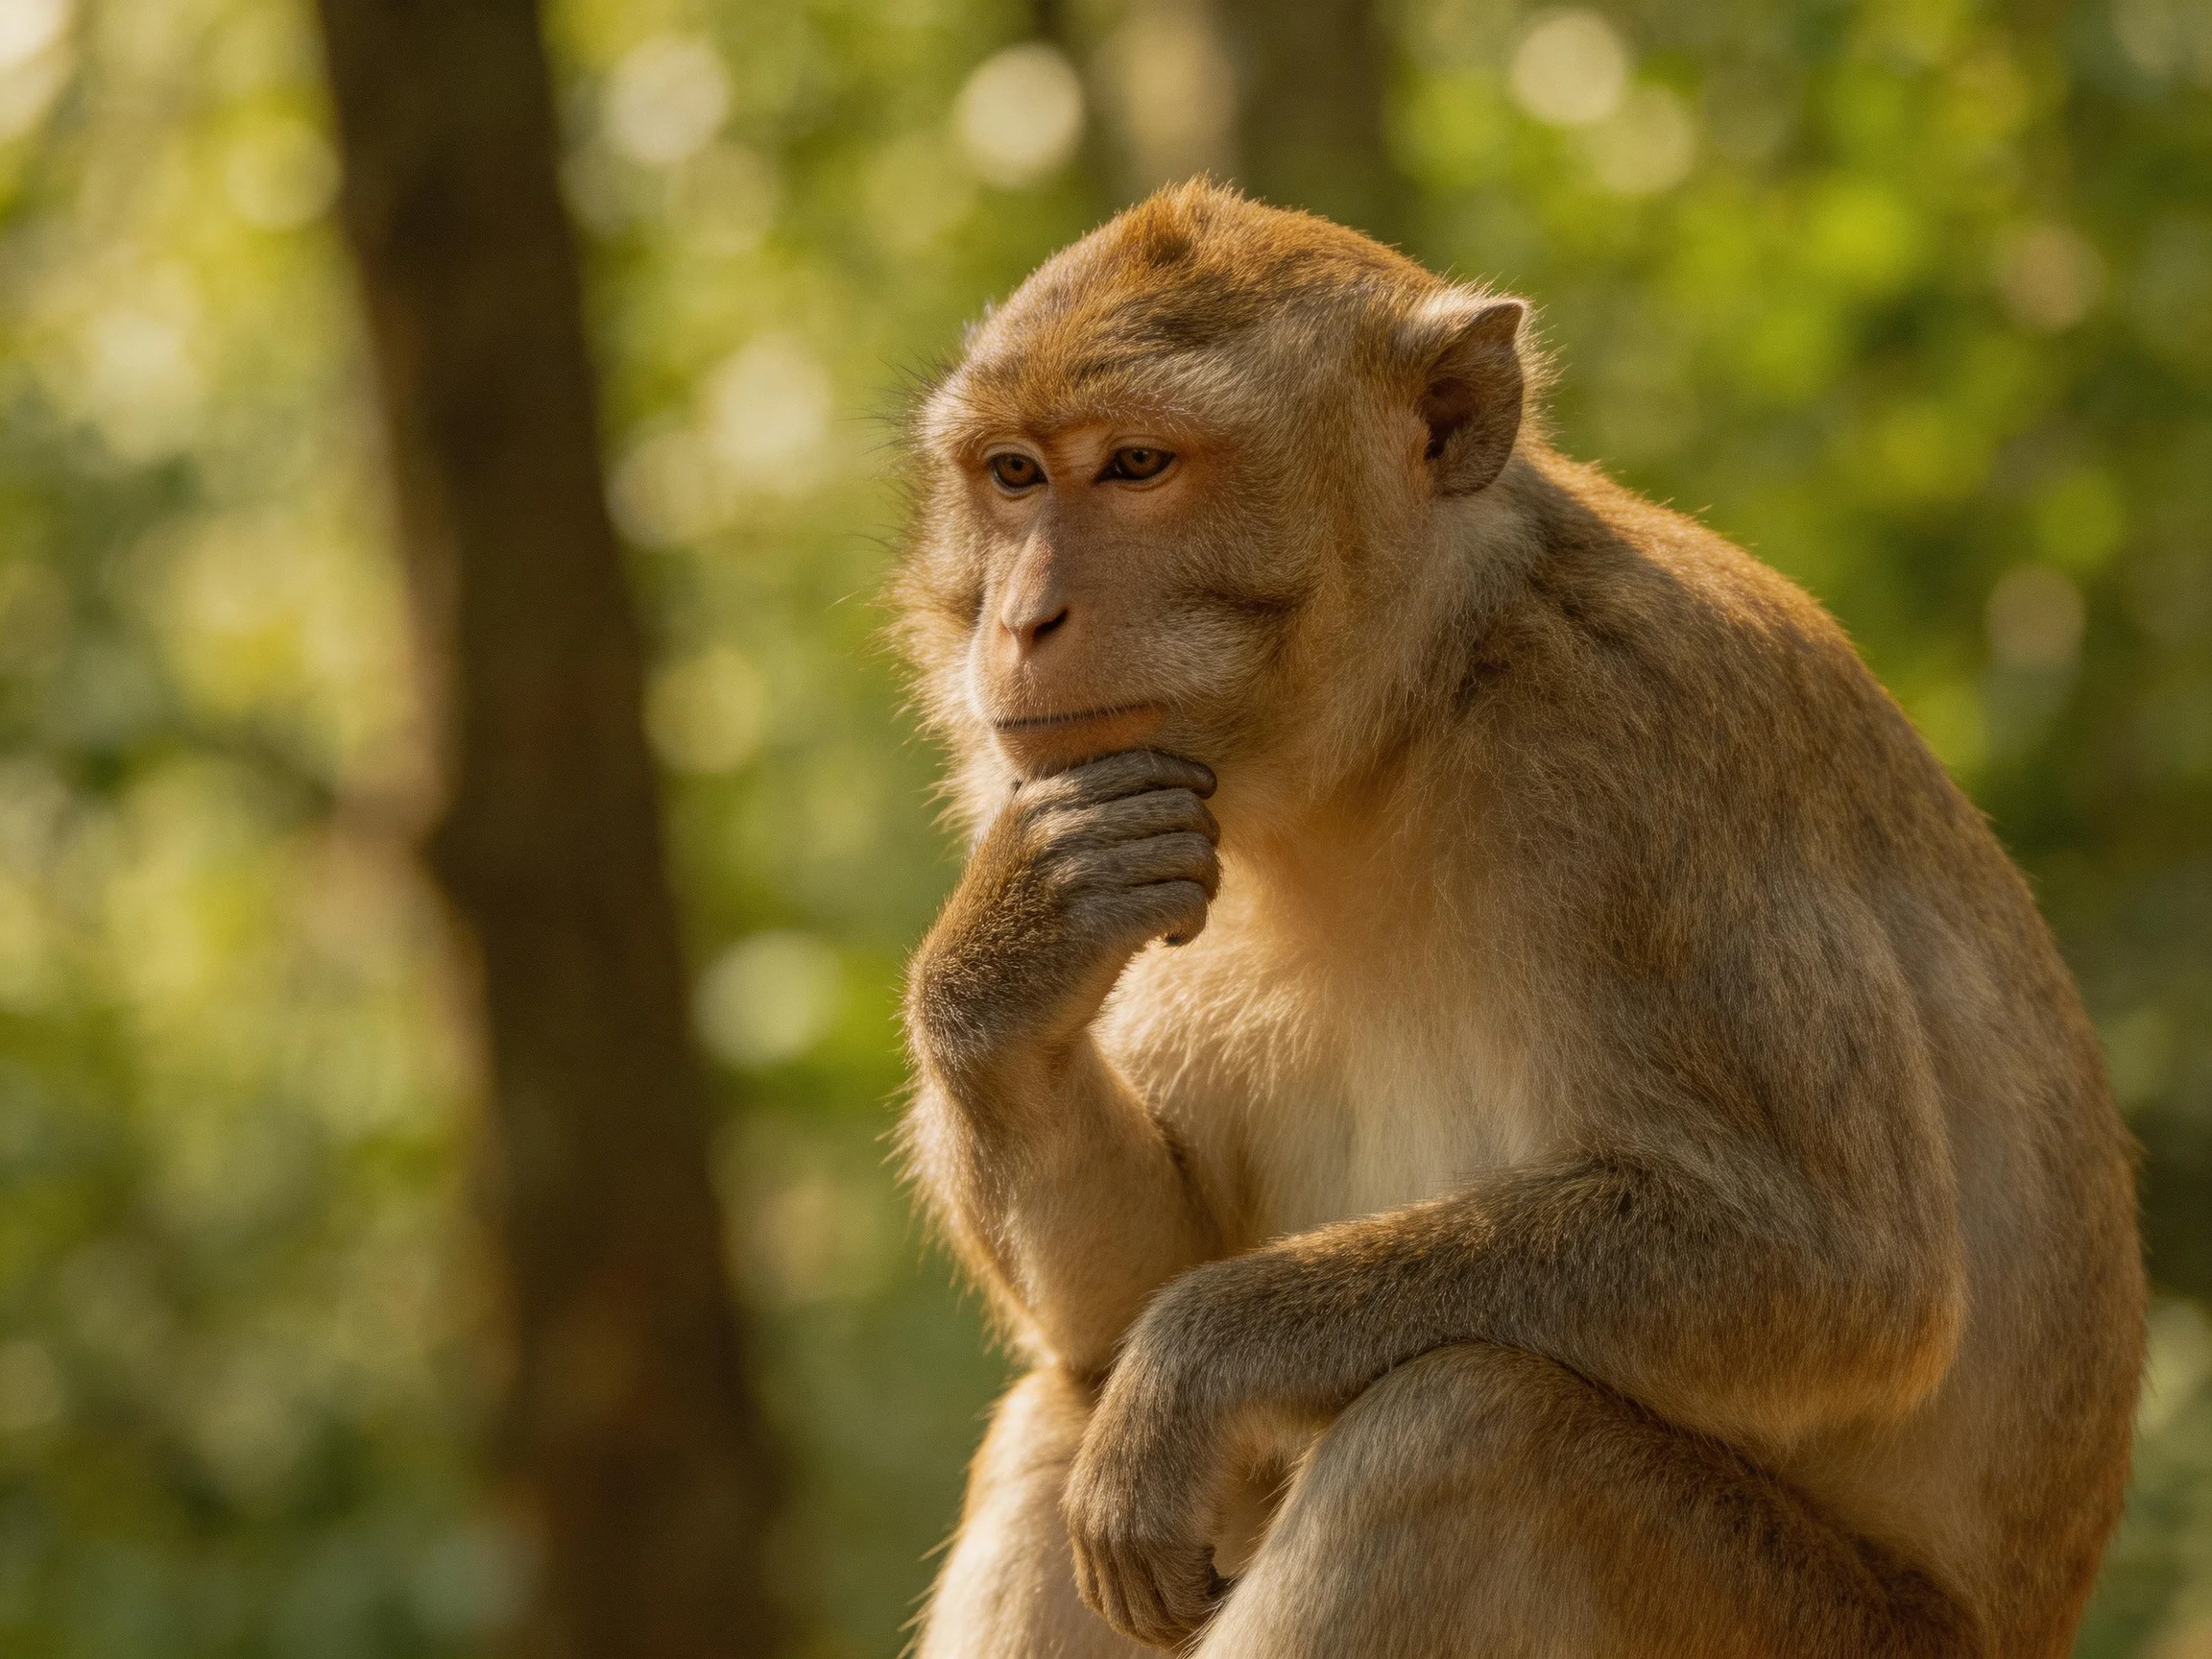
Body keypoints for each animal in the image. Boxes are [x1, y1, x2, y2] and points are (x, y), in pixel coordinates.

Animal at [890, 181, 2143, 1659]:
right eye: (1013, 475)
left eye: (1138, 465)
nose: (1023, 621)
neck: (1404, 717)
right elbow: (1118, 1302)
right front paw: (1006, 965)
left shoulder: (1627, 751)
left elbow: (1842, 1273)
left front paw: (1199, 1359)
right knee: (1065, 1408)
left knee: (1474, 1432)